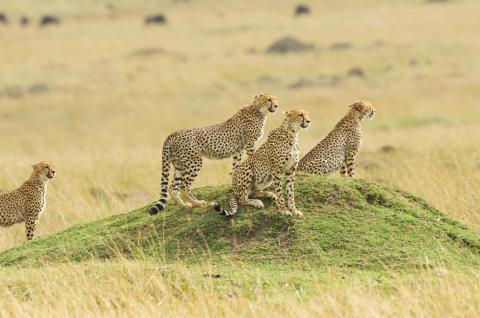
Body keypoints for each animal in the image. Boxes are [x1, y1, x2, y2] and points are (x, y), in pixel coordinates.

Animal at [148, 94, 280, 214]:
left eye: (276, 99)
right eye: (269, 99)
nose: (277, 106)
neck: (258, 110)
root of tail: (172, 134)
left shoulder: (238, 150)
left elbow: (236, 166)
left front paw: (236, 181)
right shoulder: (249, 144)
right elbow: (253, 159)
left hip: (180, 165)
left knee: (172, 187)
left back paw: (183, 206)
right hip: (194, 162)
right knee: (183, 186)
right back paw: (198, 203)